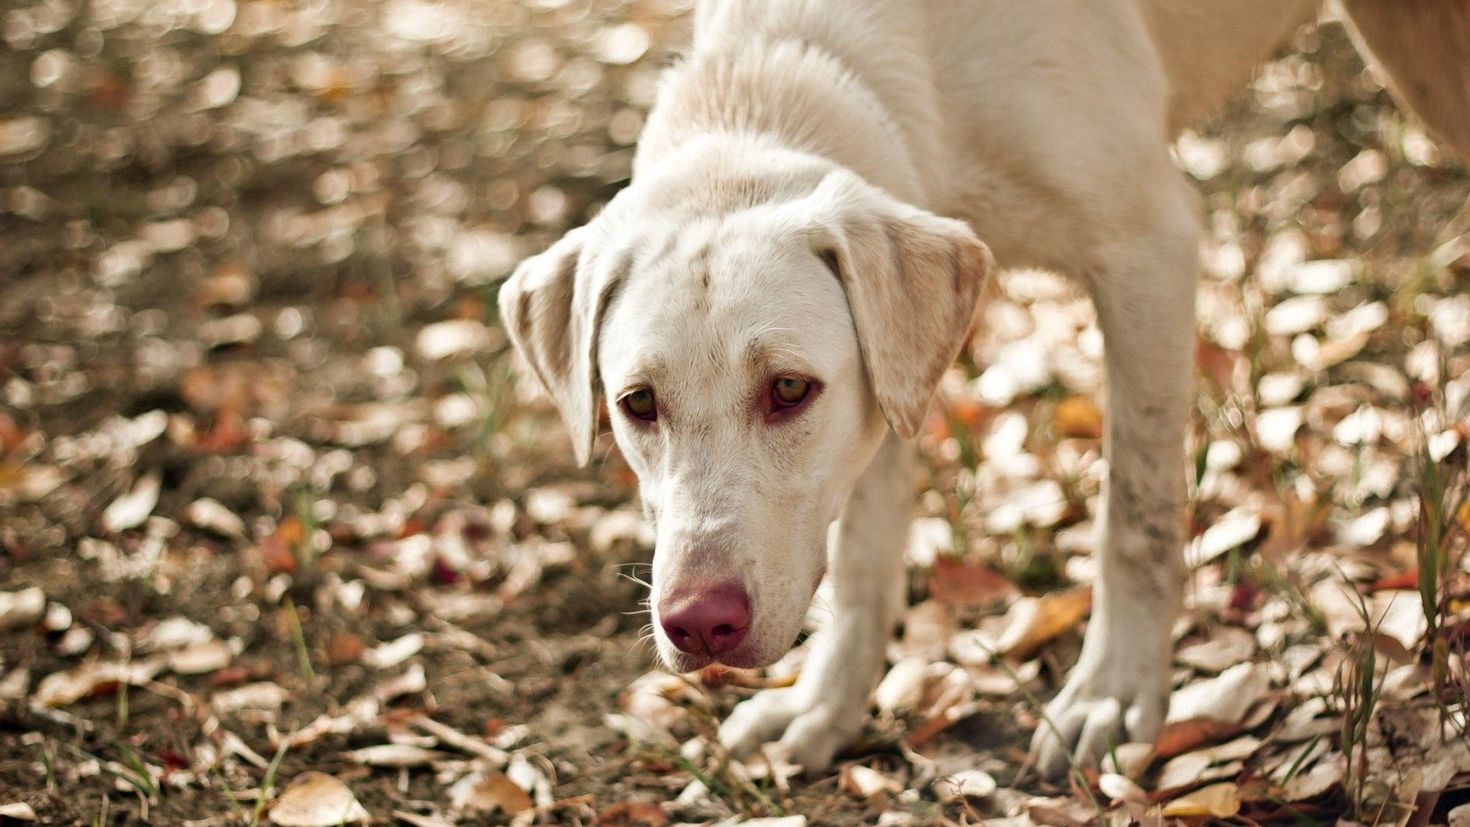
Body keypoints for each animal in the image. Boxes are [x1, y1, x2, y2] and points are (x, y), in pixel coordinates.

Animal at [496, 0, 1470, 781]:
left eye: (787, 388)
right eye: (637, 405)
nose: (699, 626)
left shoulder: (1148, 250)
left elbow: (1134, 516)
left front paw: (1113, 693)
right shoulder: (889, 378)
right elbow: (864, 559)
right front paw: (827, 704)